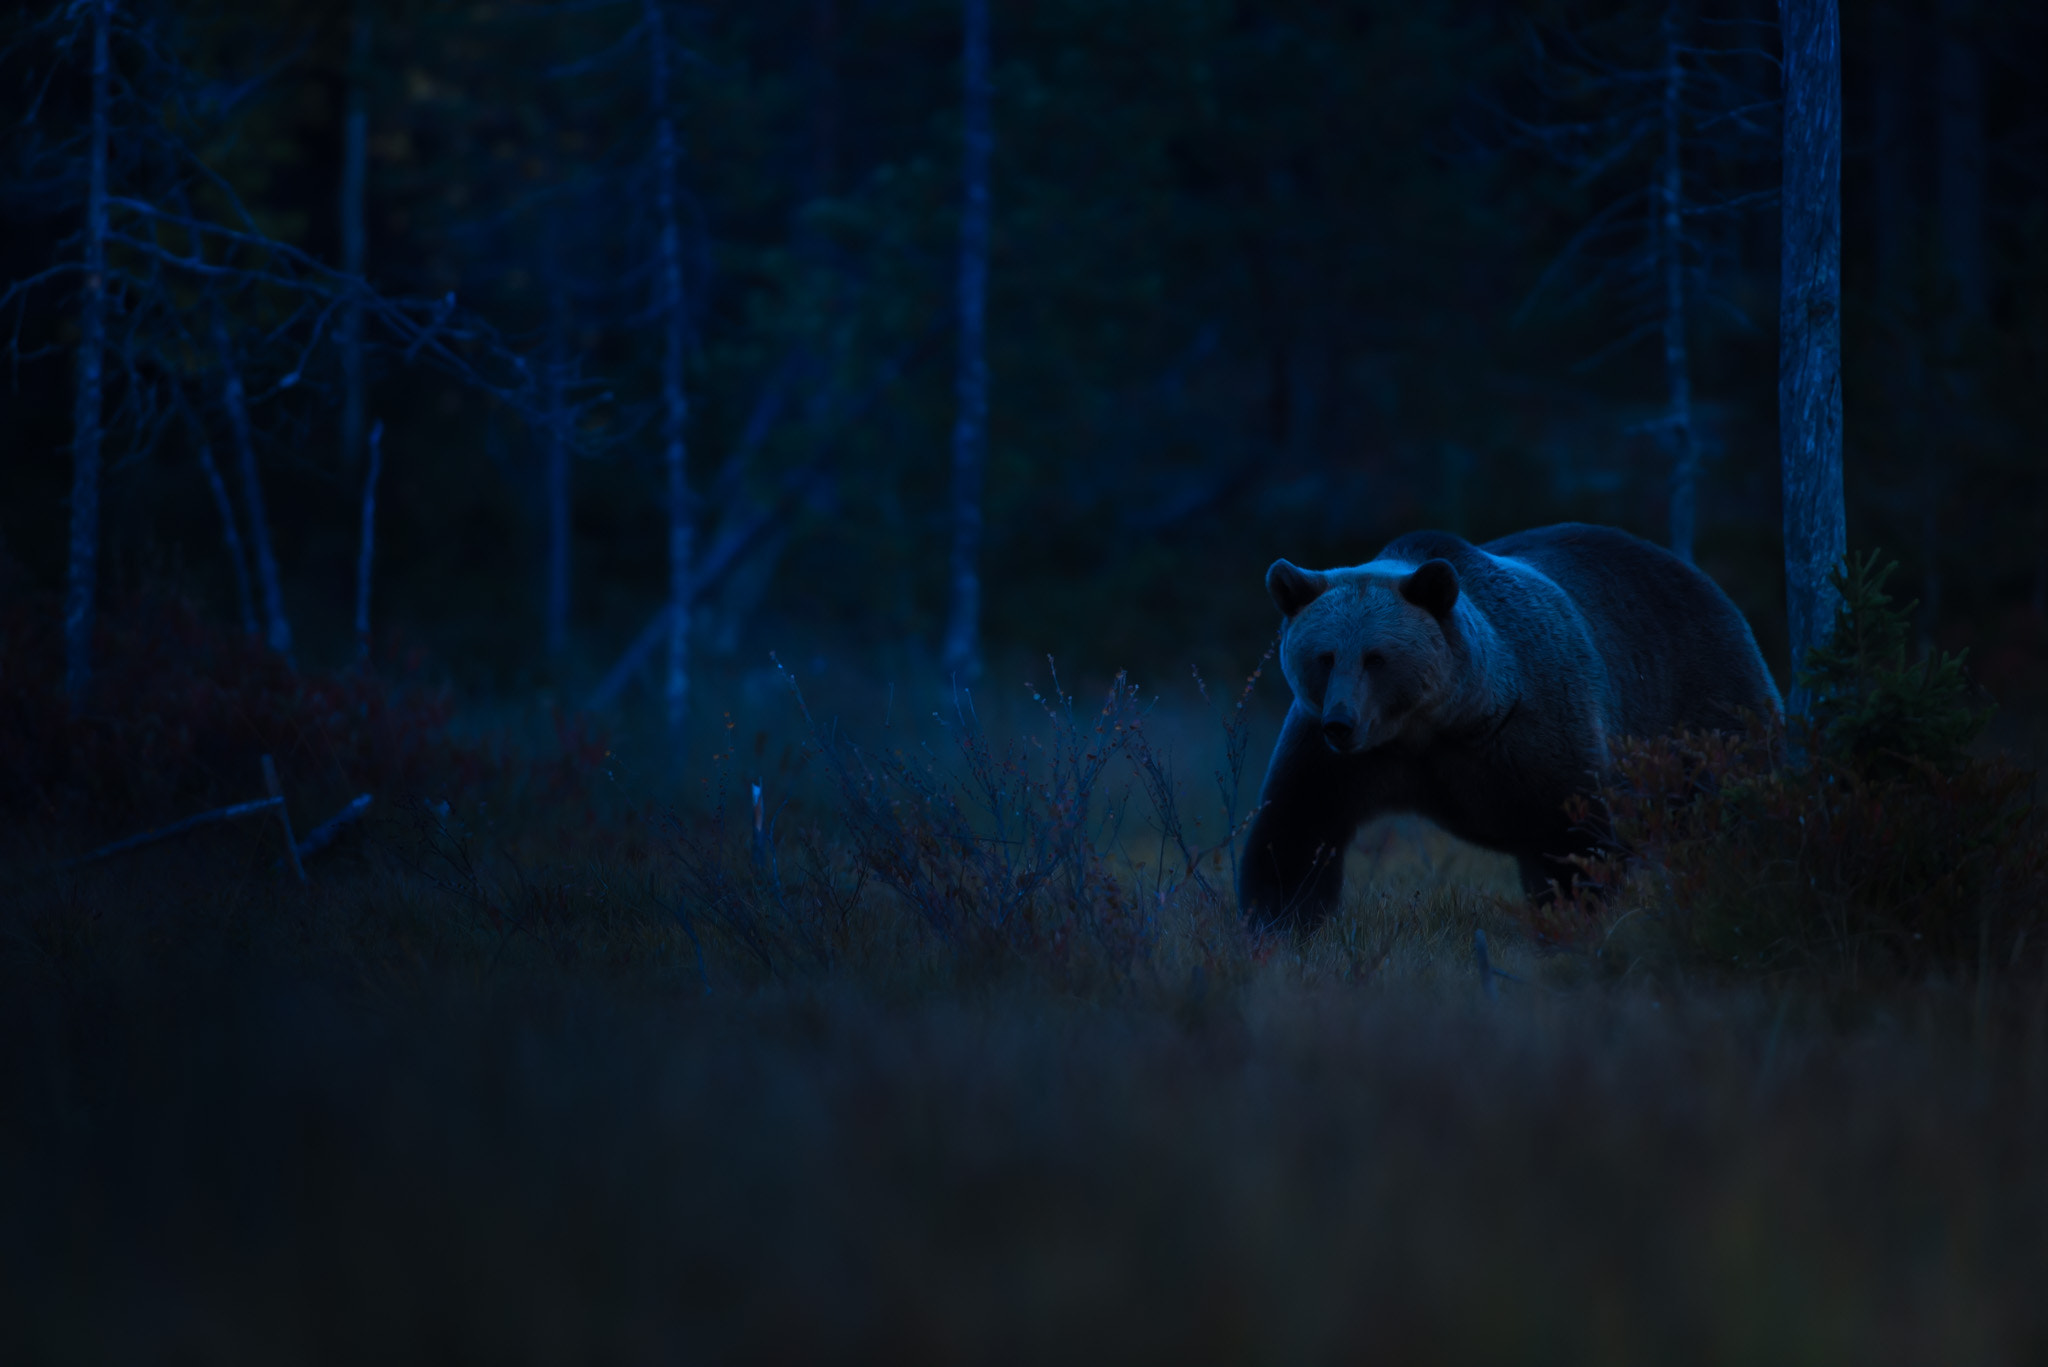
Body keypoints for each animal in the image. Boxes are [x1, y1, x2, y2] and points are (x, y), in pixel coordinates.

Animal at [1236, 518, 1785, 934]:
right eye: (1325, 656)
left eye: (1376, 657)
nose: (1341, 724)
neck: (1432, 724)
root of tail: (1702, 580)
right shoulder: (1336, 757)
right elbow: (1294, 829)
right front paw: (1278, 923)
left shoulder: (1534, 734)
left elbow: (1574, 840)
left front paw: (1576, 918)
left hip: (1704, 707)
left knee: (1736, 805)